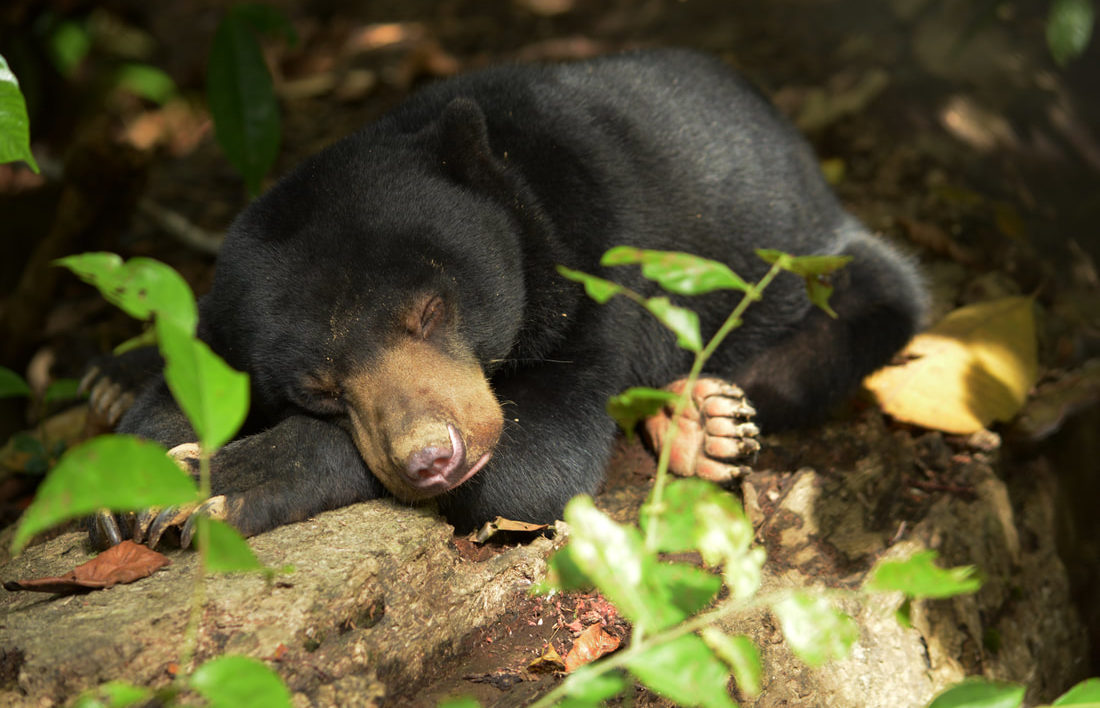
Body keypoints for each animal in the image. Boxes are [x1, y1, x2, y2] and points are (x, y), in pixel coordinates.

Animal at [88, 48, 928, 547]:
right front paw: (124, 482)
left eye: (430, 312)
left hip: (808, 262)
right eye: (318, 386)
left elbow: (528, 472)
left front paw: (217, 484)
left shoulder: (598, 275)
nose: (433, 459)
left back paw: (699, 420)